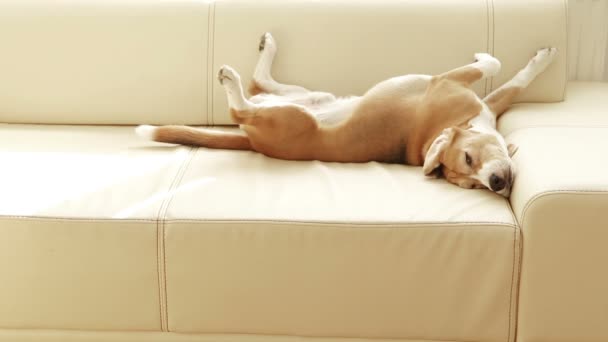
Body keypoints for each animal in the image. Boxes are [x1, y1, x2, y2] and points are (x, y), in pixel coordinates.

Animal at [137, 33, 556, 198]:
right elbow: (493, 64)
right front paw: (486, 55)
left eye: (472, 186)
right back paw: (232, 79)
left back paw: (263, 53)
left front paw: (541, 60)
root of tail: (253, 140)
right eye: (467, 161)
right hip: (295, 117)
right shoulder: (447, 82)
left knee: (258, 87)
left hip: (303, 97)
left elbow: (515, 81)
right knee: (239, 105)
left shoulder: (491, 104)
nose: (497, 183)